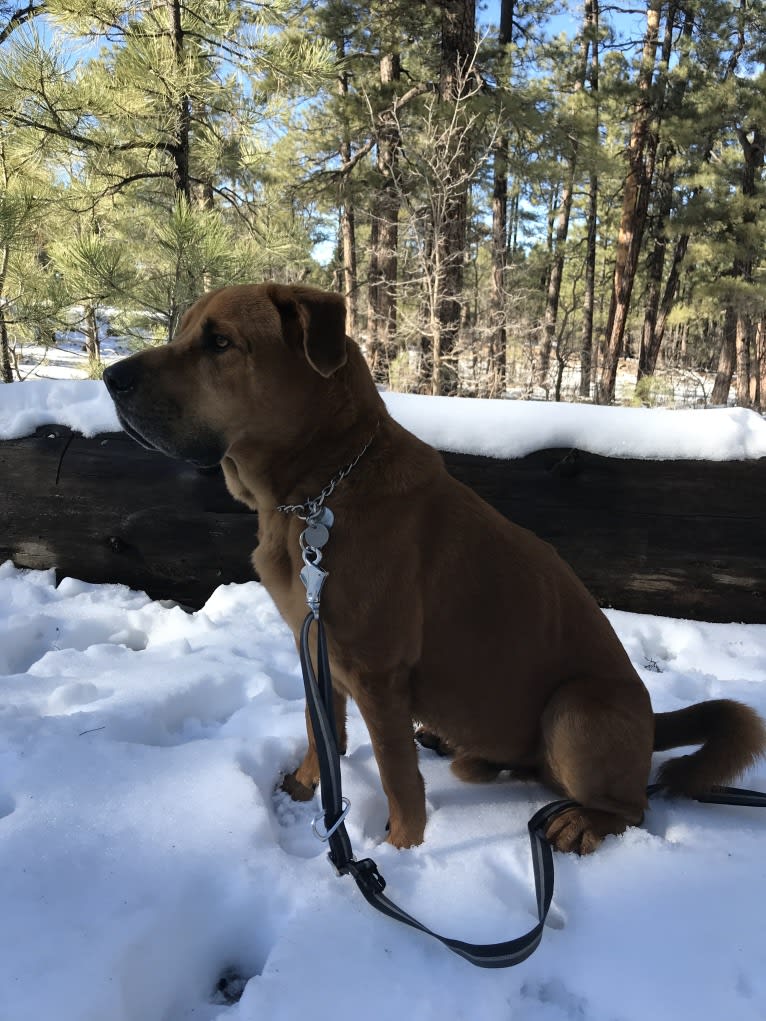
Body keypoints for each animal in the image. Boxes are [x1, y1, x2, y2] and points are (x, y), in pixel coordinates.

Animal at [103, 281, 766, 853]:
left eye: (219, 342)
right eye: (184, 330)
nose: (111, 377)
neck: (317, 493)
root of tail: (652, 720)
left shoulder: (377, 672)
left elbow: (398, 777)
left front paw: (401, 849)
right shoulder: (311, 643)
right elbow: (322, 731)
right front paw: (305, 787)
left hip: (576, 709)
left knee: (633, 805)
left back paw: (583, 822)